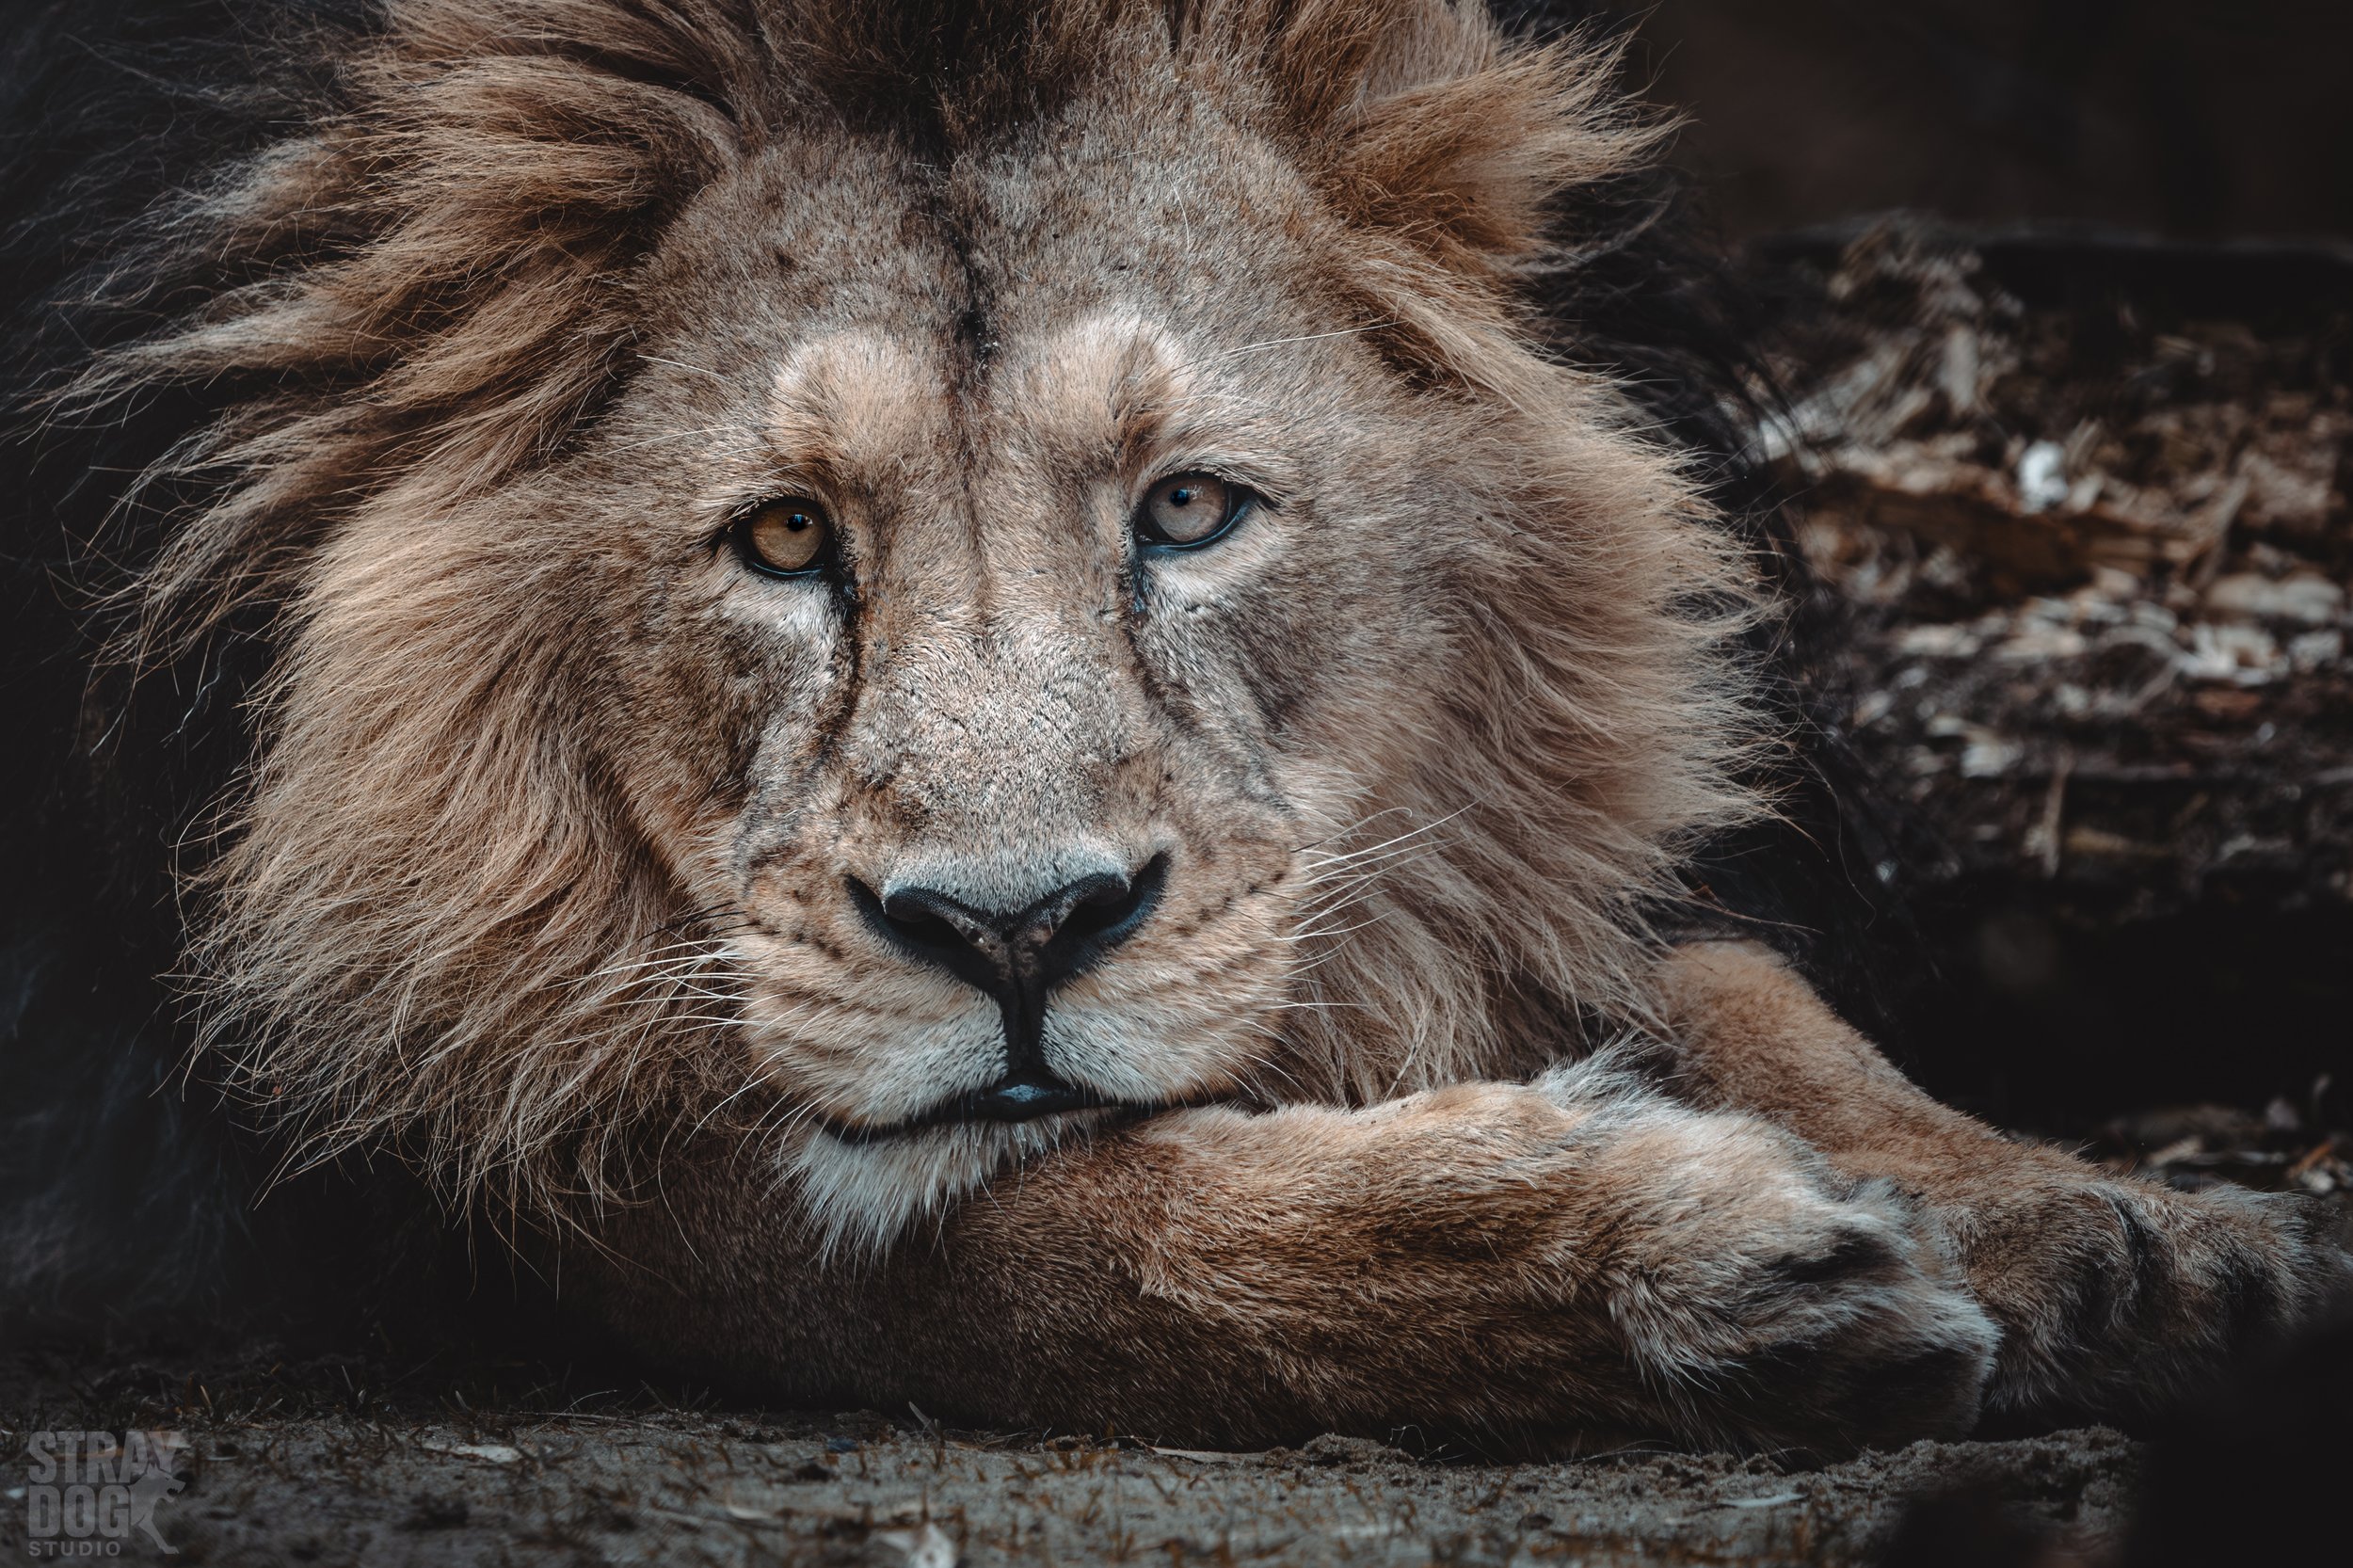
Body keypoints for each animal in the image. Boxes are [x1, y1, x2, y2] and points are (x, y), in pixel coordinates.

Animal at [1, 0, 2344, 1454]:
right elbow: (1040, 1243)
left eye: (1189, 510)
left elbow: (1731, 977)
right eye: (783, 536)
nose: (1017, 934)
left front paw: (2138, 1235)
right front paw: (1685, 1261)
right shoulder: (441, 1108)